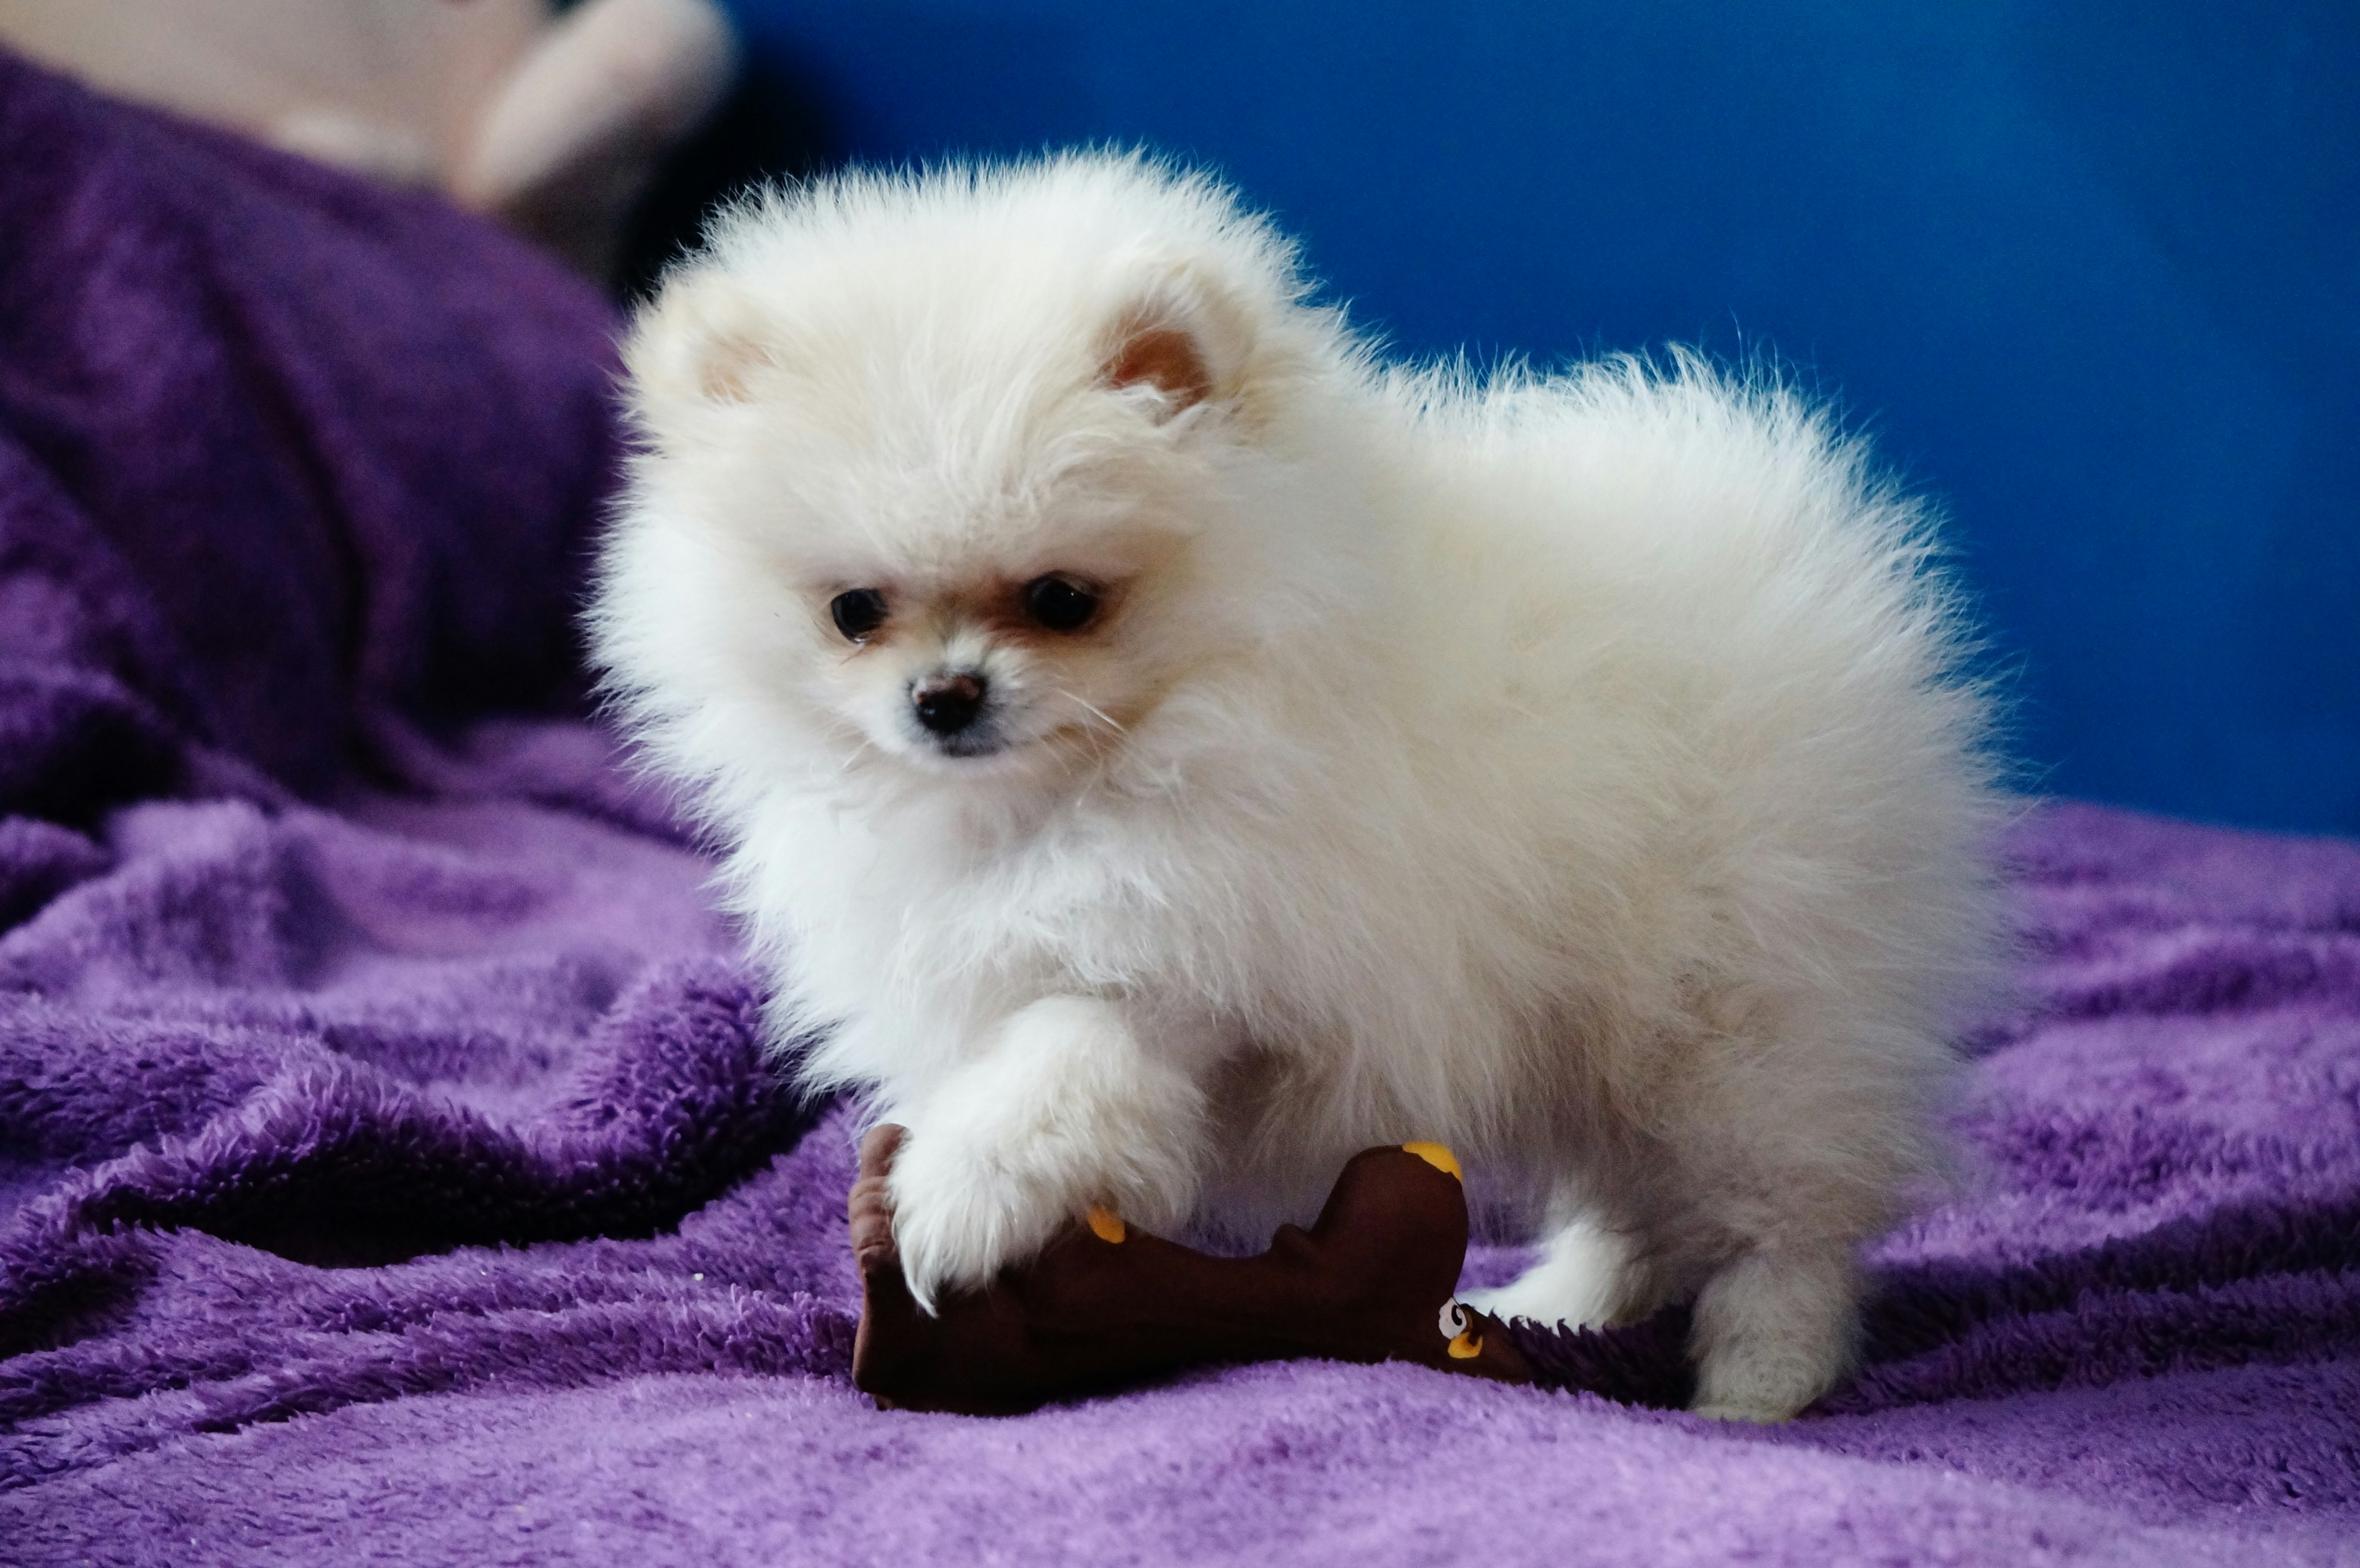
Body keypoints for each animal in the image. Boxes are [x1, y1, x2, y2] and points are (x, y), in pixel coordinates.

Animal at [594, 156, 2011, 1417]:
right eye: (853, 611)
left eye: (1063, 599)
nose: (944, 696)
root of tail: (1801, 550)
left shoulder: (1197, 941)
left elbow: (1067, 1054)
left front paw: (960, 1199)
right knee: (1637, 1196)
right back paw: (1570, 1301)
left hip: (1742, 1013)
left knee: (1780, 1208)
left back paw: (1756, 1382)